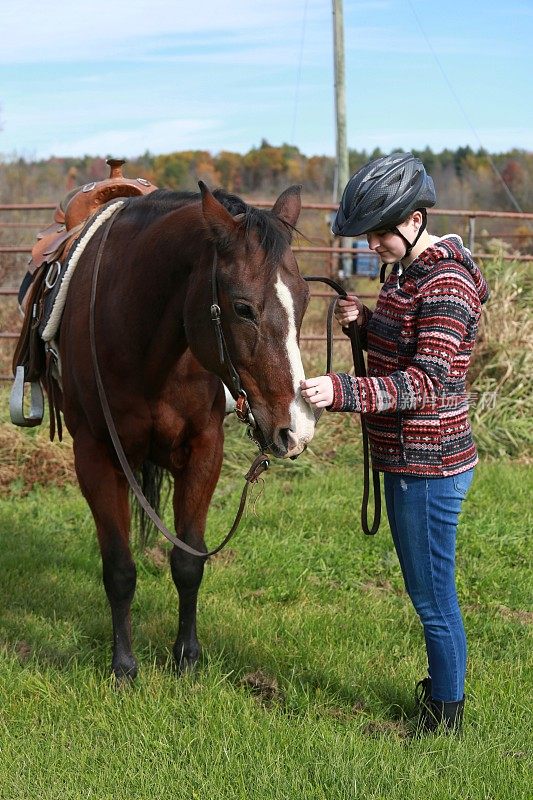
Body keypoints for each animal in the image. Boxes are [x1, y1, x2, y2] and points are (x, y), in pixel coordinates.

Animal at [57, 183, 316, 680]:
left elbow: (189, 562)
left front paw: (187, 657)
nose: (298, 430)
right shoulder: (96, 457)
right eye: (243, 308)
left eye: (306, 299)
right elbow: (119, 568)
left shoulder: (203, 450)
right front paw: (124, 665)